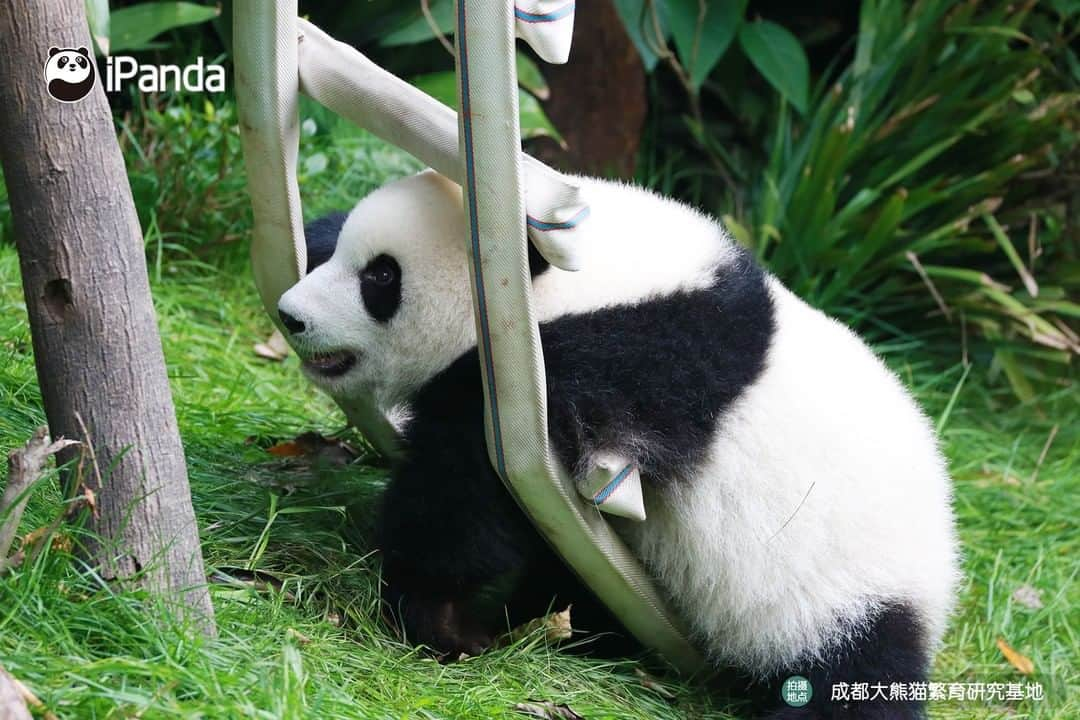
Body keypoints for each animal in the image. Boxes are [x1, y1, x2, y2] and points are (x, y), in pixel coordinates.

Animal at [276, 171, 954, 716]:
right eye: (345, 253)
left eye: (381, 276)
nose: (291, 315)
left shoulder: (623, 367)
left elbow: (469, 492)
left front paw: (437, 618)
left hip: (846, 601)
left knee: (852, 677)